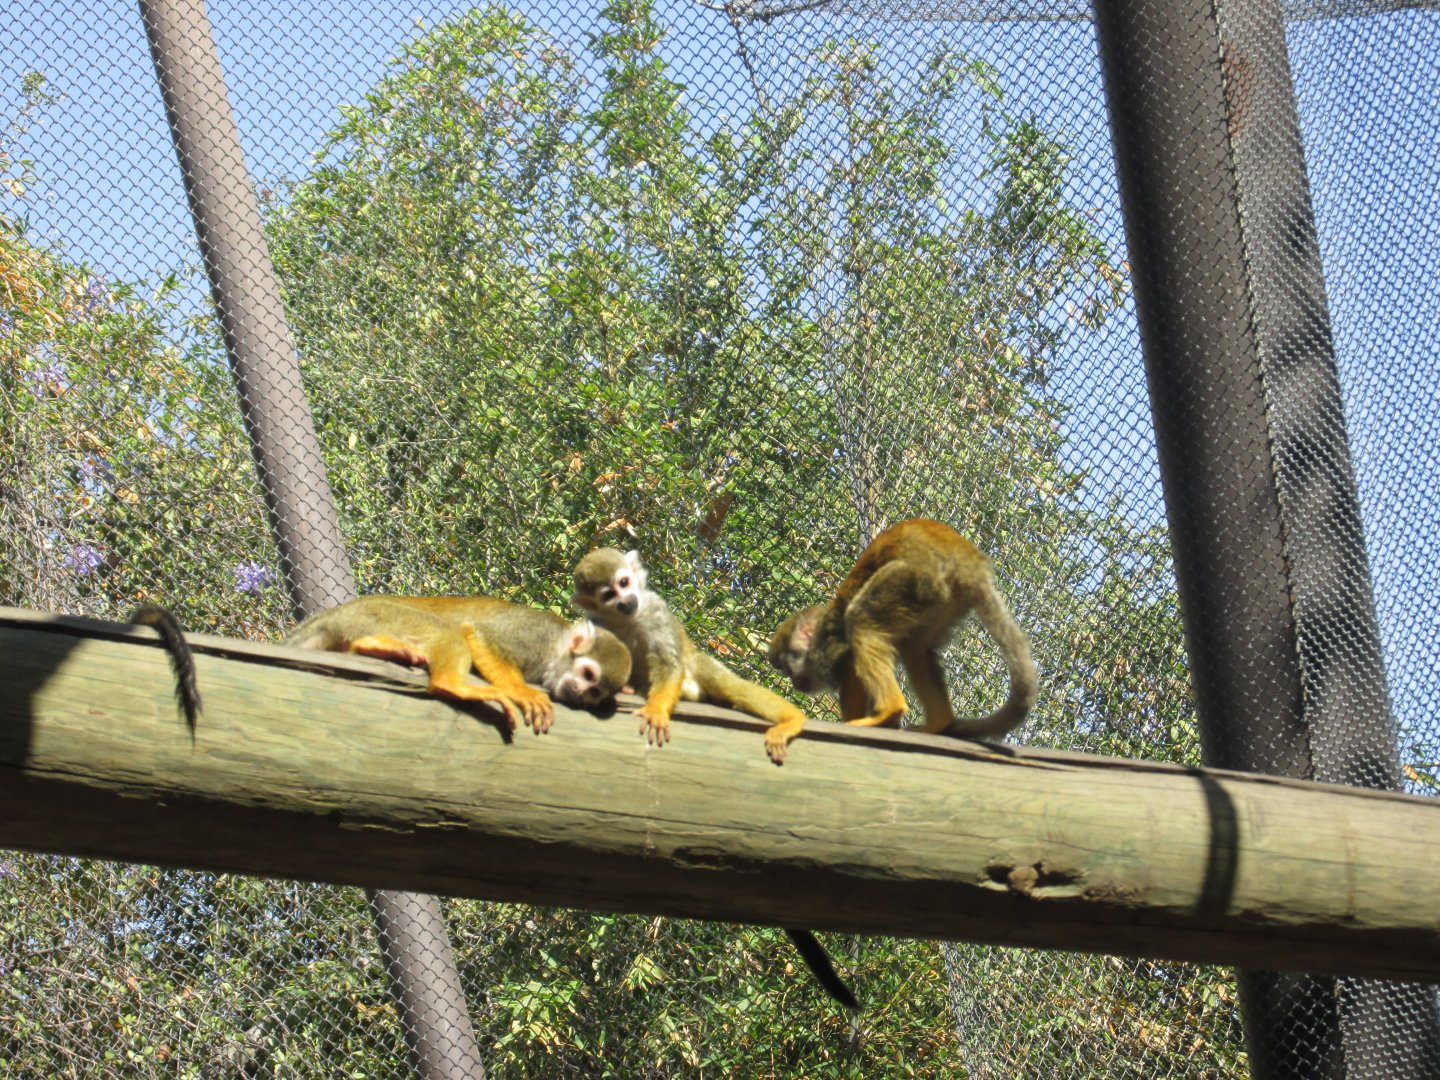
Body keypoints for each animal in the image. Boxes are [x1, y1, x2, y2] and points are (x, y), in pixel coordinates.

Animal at [286, 596, 632, 734]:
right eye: (587, 674)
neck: (556, 648)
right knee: (450, 632)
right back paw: (450, 684)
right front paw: (522, 691)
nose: (579, 690)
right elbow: (479, 634)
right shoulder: (536, 635)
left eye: (595, 692)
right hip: (378, 613)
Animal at [569, 549, 859, 1009]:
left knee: (720, 680)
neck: (630, 621)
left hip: (706, 669)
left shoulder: (657, 615)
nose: (626, 601)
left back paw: (787, 717)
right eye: (607, 594)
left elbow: (668, 665)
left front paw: (656, 709)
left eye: (625, 584)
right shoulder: (603, 625)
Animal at [768, 518, 1037, 763]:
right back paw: (937, 722)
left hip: (914, 578)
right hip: (940, 599)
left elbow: (851, 669)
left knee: (861, 619)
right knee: (915, 650)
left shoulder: (827, 647)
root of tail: (968, 565)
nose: (795, 683)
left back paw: (889, 711)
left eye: (788, 668)